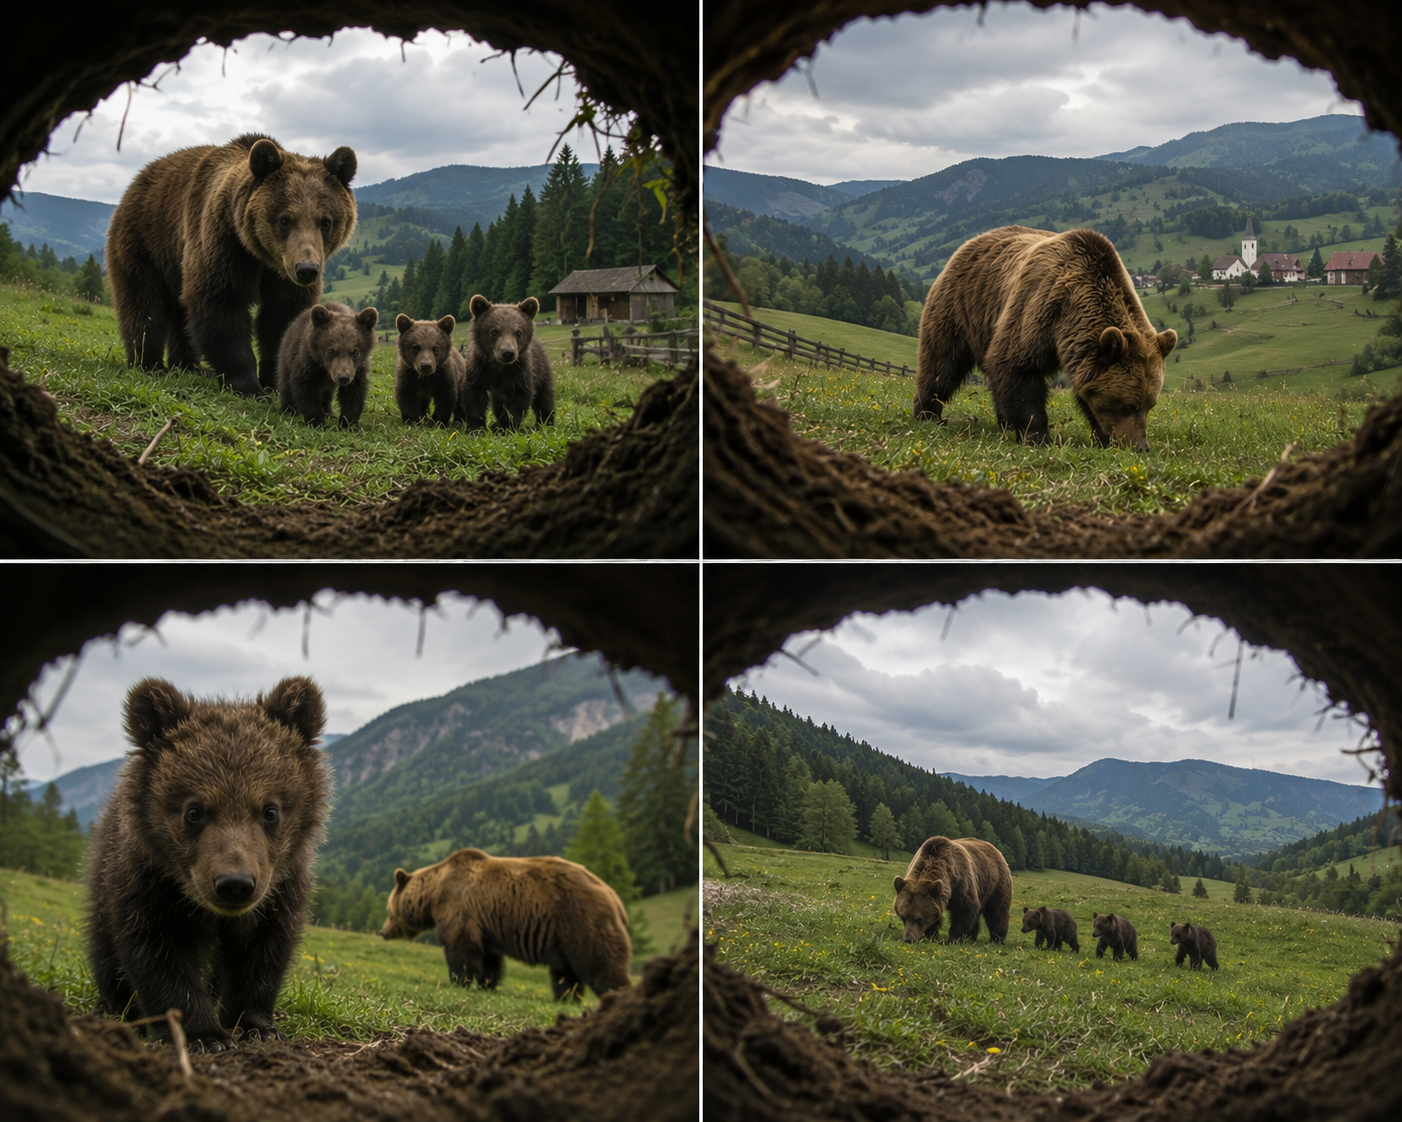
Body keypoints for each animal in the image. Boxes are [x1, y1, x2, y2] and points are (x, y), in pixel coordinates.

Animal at [85, 676, 331, 1054]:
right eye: (194, 810)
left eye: (270, 810)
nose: (235, 884)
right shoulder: (147, 881)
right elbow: (156, 952)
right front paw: (203, 1035)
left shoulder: (281, 888)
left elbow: (264, 951)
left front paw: (256, 1025)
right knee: (103, 943)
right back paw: (113, 1006)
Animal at [105, 133, 358, 398]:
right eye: (285, 220)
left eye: (325, 221)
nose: (306, 269)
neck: (262, 256)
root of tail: (137, 180)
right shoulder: (223, 242)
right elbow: (221, 301)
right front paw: (249, 387)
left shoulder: (283, 276)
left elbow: (283, 315)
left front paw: (276, 381)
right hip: (145, 240)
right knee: (143, 303)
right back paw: (149, 364)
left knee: (181, 312)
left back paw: (189, 365)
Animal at [380, 847, 631, 1000]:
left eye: (389, 910)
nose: (383, 931)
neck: (434, 895)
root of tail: (614, 896)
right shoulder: (485, 927)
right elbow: (489, 960)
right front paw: (487, 985)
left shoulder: (459, 909)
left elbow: (460, 951)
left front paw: (459, 981)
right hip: (563, 936)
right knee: (565, 973)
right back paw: (565, 999)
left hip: (579, 920)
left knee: (599, 964)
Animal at [459, 294, 556, 431]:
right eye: (494, 331)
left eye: (519, 333)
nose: (508, 352)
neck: (499, 367)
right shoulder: (479, 369)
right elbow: (474, 397)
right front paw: (476, 428)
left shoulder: (519, 373)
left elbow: (517, 401)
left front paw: (508, 426)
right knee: (498, 404)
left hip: (541, 370)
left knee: (544, 399)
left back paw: (545, 423)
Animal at [913, 225, 1177, 451]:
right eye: (1128, 405)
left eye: (1150, 404)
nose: (1141, 446)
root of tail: (971, 242)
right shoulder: (1039, 309)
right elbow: (1016, 367)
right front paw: (1038, 437)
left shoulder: (1078, 349)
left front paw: (1102, 437)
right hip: (960, 309)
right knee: (941, 365)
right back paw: (928, 414)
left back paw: (1003, 422)